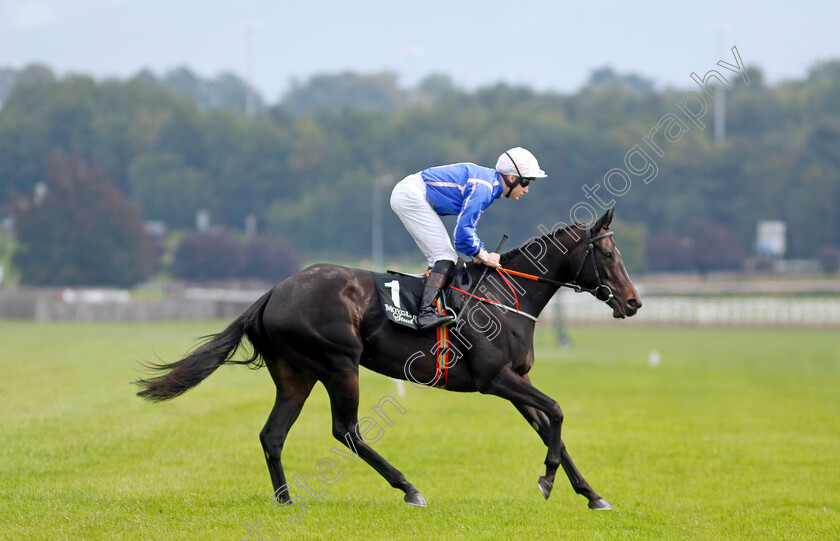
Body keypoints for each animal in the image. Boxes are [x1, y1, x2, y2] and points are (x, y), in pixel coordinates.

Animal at [135, 207, 640, 510]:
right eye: (608, 252)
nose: (634, 302)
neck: (505, 297)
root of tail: (273, 292)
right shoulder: (494, 378)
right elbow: (557, 410)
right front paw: (549, 480)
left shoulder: (516, 380)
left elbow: (550, 426)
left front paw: (591, 494)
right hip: (340, 363)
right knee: (346, 430)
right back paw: (408, 487)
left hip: (296, 375)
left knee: (272, 435)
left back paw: (285, 499)